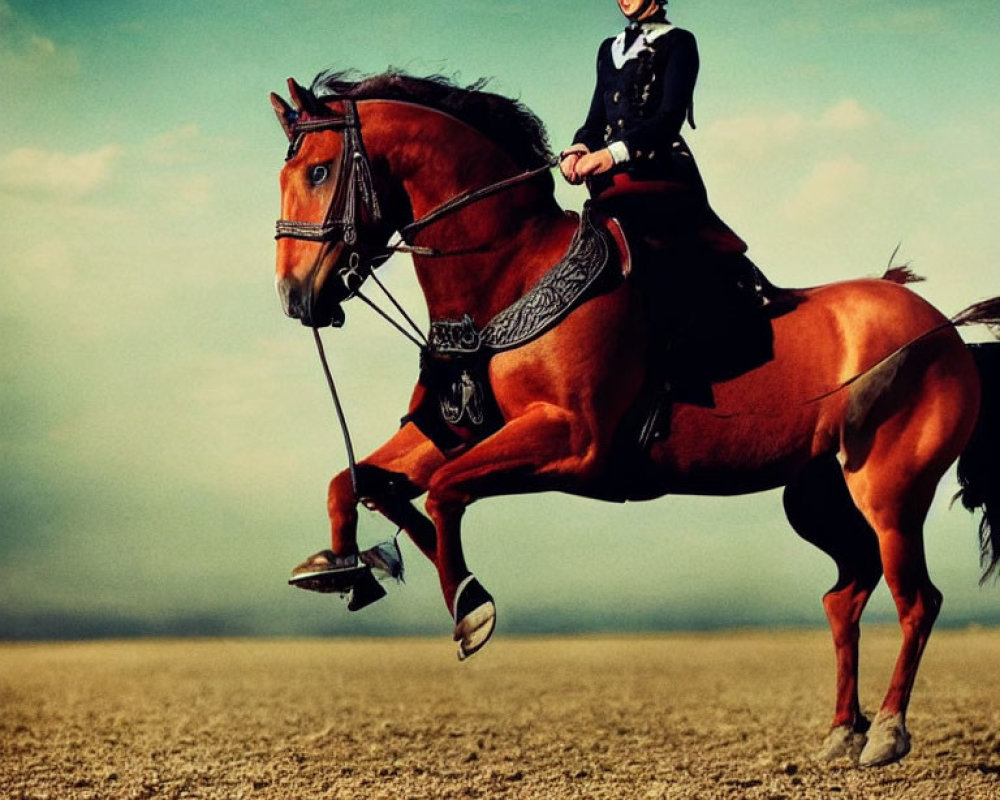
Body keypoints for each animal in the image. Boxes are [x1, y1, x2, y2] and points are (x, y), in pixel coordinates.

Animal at [270, 72, 996, 764]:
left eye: (319, 171)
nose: (296, 296)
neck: (510, 276)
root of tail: (947, 333)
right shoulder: (454, 430)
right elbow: (357, 483)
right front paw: (345, 567)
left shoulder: (572, 441)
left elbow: (445, 492)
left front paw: (470, 605)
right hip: (819, 494)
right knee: (846, 596)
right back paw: (844, 732)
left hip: (891, 492)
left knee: (916, 600)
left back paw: (887, 734)